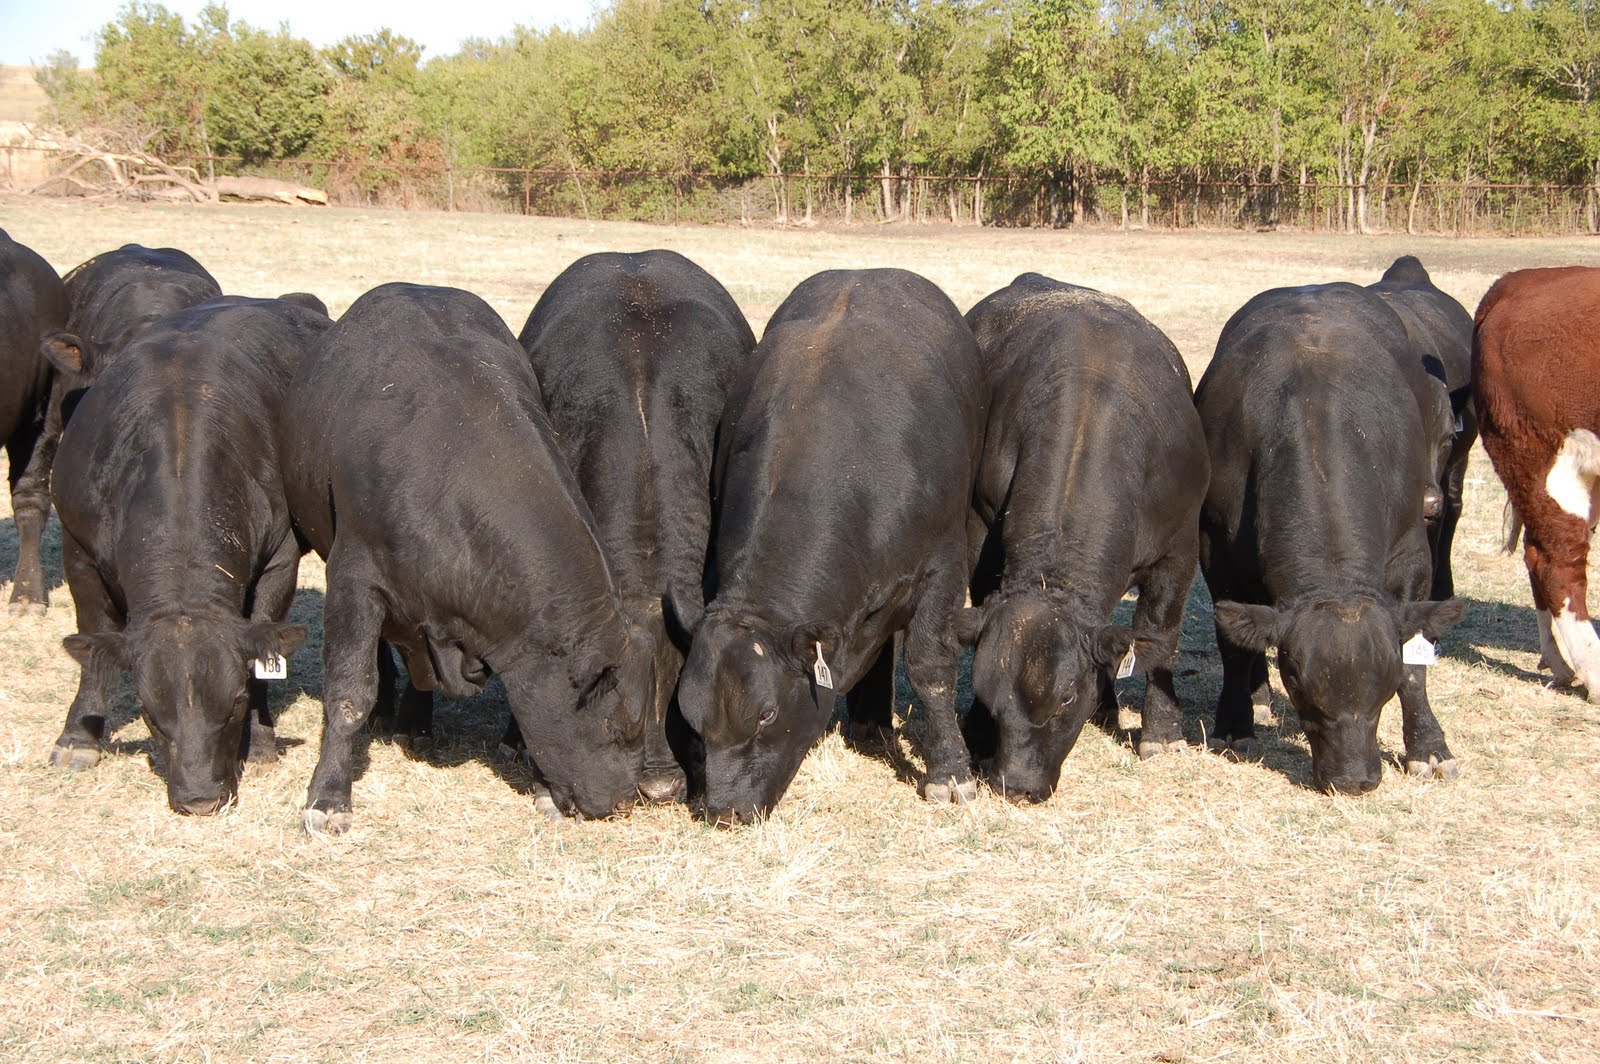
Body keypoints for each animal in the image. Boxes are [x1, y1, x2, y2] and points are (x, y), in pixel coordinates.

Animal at [46, 297, 327, 814]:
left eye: (236, 701)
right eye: (146, 710)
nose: (200, 799)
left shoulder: (280, 559)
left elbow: (264, 644)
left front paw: (259, 742)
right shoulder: (78, 548)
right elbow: (93, 636)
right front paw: (78, 736)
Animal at [676, 268, 987, 824]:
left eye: (767, 713)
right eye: (692, 717)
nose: (725, 810)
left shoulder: (943, 568)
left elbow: (929, 667)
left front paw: (950, 773)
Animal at [955, 274, 1208, 802]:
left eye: (1066, 697)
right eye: (989, 700)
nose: (1018, 786)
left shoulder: (1180, 548)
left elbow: (1159, 635)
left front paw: (1162, 733)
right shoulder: (978, 528)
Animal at [1197, 282, 1466, 794]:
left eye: (1383, 687)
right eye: (1299, 685)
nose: (1354, 778)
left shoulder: (1411, 557)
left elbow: (1416, 666)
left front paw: (1428, 746)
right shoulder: (1216, 552)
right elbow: (1234, 647)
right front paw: (1234, 726)